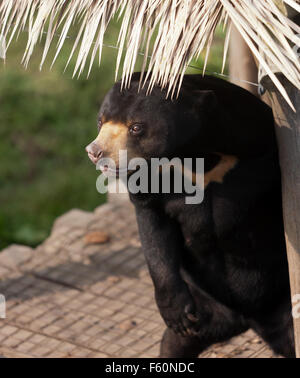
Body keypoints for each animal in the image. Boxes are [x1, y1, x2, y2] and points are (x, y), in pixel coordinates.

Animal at [85, 73, 294, 358]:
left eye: (136, 127)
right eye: (100, 121)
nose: (95, 152)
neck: (195, 155)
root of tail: (247, 319)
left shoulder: (255, 138)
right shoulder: (153, 178)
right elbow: (153, 227)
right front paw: (176, 312)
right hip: (206, 304)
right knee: (176, 342)